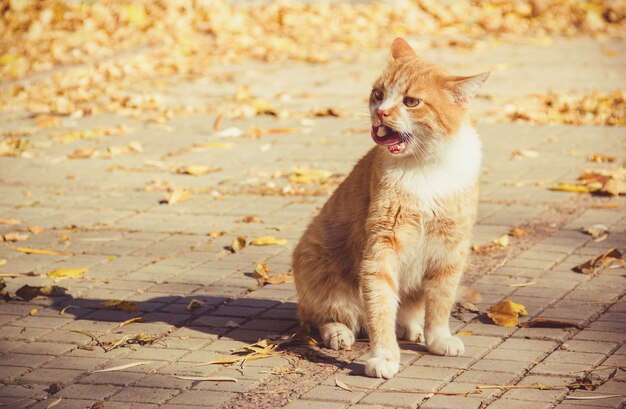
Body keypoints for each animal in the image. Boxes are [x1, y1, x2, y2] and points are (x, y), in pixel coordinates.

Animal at [292, 36, 488, 378]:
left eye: (411, 101)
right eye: (378, 94)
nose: (381, 112)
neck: (427, 168)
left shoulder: (451, 248)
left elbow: (441, 299)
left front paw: (438, 338)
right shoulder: (383, 245)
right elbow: (380, 305)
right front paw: (384, 356)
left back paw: (414, 328)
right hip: (315, 263)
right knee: (323, 316)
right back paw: (339, 333)